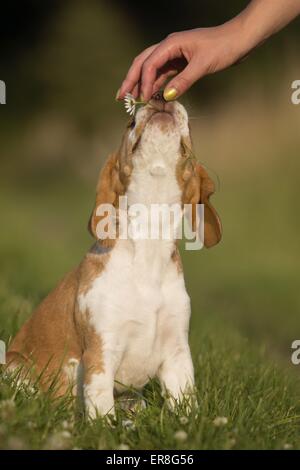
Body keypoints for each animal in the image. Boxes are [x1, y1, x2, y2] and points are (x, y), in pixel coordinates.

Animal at [7, 96, 220, 418]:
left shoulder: (177, 353)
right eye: (130, 122)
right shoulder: (101, 351)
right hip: (16, 371)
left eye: (191, 129)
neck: (148, 241)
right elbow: (102, 413)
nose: (159, 95)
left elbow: (187, 407)